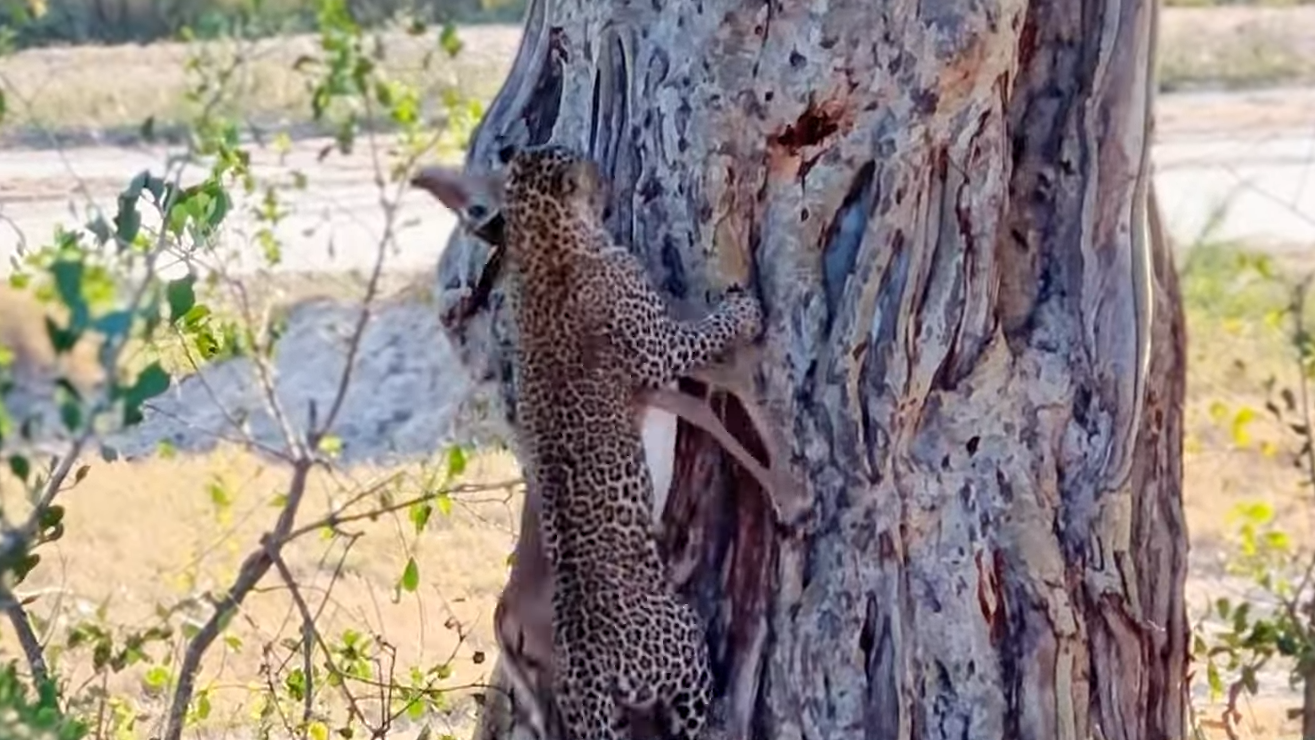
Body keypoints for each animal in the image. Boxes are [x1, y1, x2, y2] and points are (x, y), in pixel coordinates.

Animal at [415, 143, 767, 740]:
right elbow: (712, 348)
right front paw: (744, 313)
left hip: (565, 705)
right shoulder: (661, 356)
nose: (606, 176)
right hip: (680, 652)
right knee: (692, 716)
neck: (544, 242)